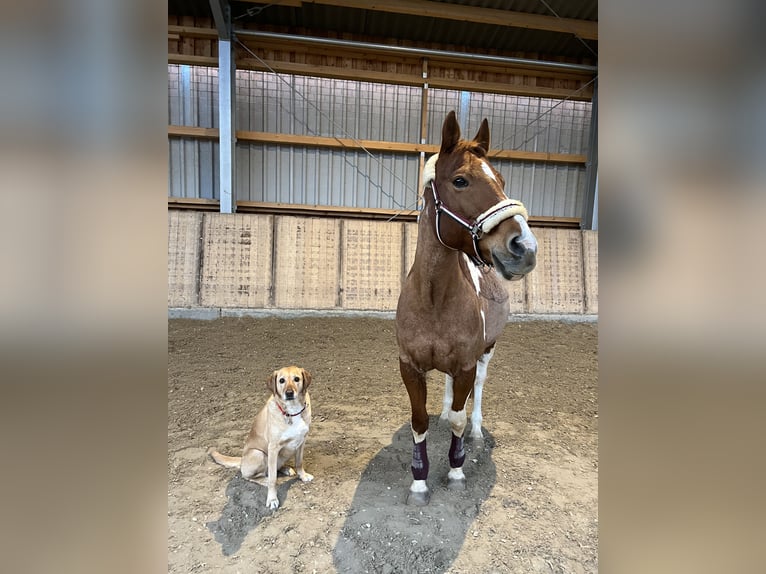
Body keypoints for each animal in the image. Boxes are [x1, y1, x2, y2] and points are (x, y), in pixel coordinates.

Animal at [208, 366, 314, 510]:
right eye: (281, 380)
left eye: (296, 379)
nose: (289, 393)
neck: (292, 412)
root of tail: (241, 460)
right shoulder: (273, 448)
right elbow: (273, 479)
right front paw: (272, 499)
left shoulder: (302, 441)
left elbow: (299, 463)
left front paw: (302, 476)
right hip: (258, 454)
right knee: (251, 476)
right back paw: (264, 479)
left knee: (276, 468)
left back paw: (286, 469)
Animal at [396, 110, 540, 506]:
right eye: (460, 181)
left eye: (502, 180)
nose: (524, 246)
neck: (433, 300)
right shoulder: (409, 367)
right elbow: (418, 420)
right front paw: (418, 481)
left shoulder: (465, 365)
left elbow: (462, 414)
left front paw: (456, 471)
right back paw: (445, 412)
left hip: (487, 352)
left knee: (478, 389)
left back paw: (474, 429)